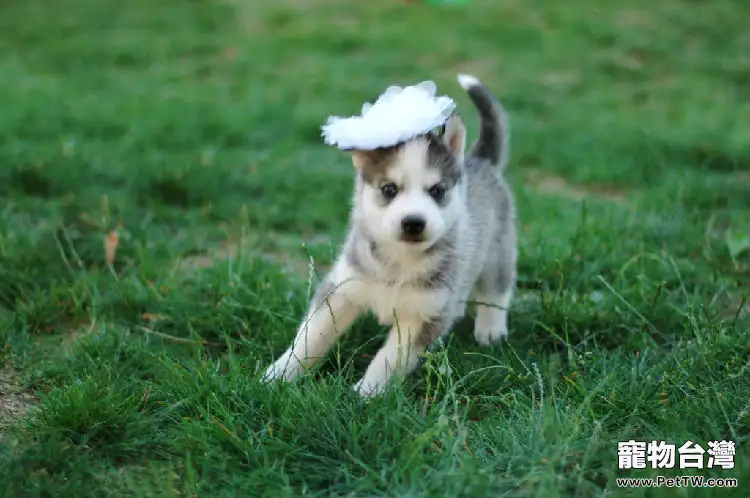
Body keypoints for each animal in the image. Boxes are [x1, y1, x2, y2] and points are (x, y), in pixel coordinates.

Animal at [264, 74, 516, 394]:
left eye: (437, 191)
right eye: (389, 189)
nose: (413, 222)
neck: (399, 261)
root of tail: (480, 160)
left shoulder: (423, 315)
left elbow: (389, 358)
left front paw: (365, 394)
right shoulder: (342, 288)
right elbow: (310, 337)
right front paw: (279, 374)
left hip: (497, 251)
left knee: (497, 289)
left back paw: (491, 328)